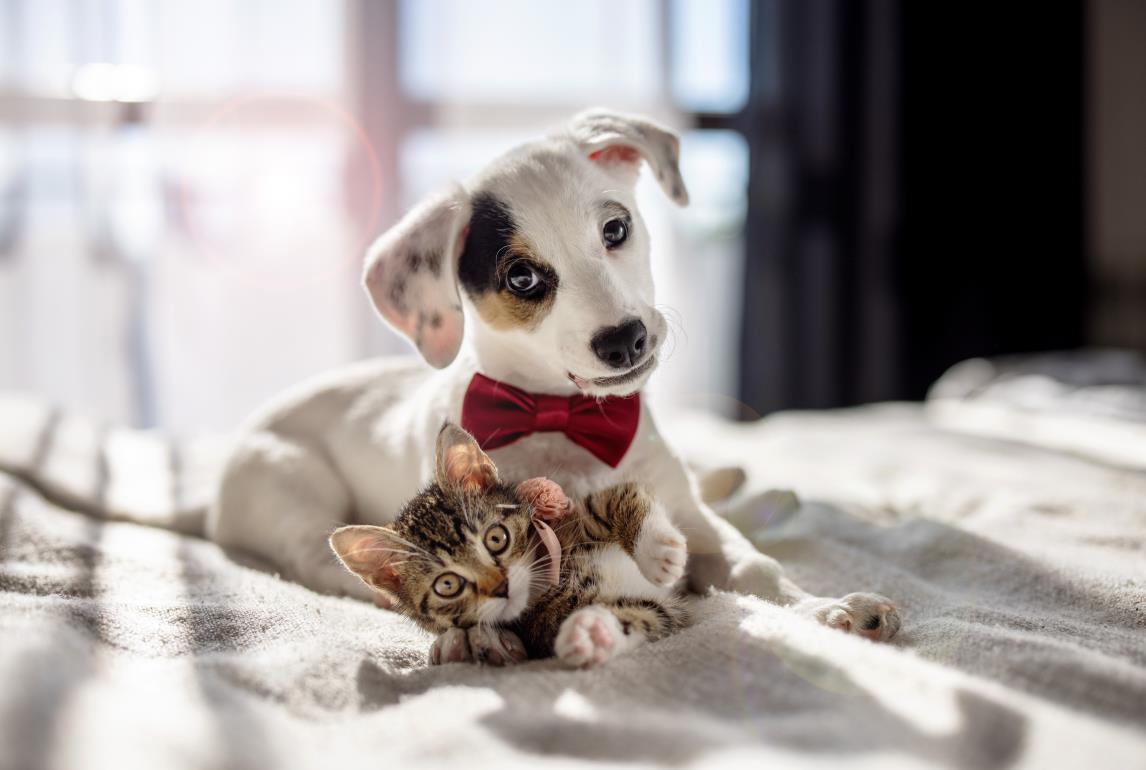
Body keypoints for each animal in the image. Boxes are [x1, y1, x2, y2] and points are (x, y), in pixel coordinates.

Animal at [332, 421, 687, 669]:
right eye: (447, 585)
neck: (550, 579)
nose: (501, 587)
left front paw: (660, 552)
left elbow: (620, 496)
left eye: (496, 538)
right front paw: (591, 634)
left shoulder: (579, 514)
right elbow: (643, 614)